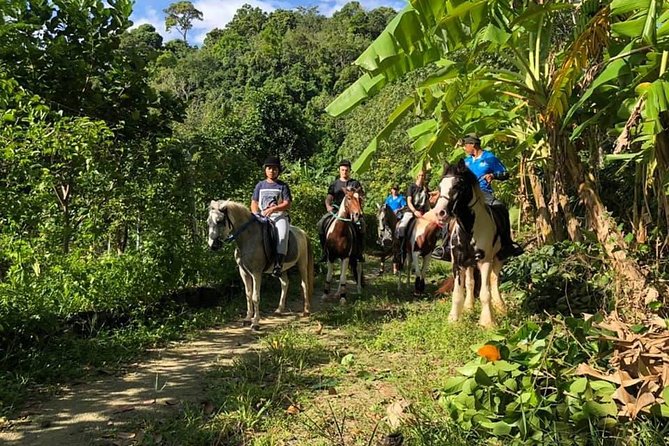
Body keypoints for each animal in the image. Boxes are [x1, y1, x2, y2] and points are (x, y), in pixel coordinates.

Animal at [206, 200, 314, 330]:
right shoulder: (244, 272)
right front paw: (247, 319)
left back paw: (306, 310)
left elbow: (255, 297)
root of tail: (302, 232)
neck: (248, 238)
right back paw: (279, 310)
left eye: (219, 221)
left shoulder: (256, 273)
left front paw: (255, 323)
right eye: (208, 222)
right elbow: (248, 295)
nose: (212, 245)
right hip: (281, 269)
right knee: (285, 283)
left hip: (301, 264)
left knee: (304, 284)